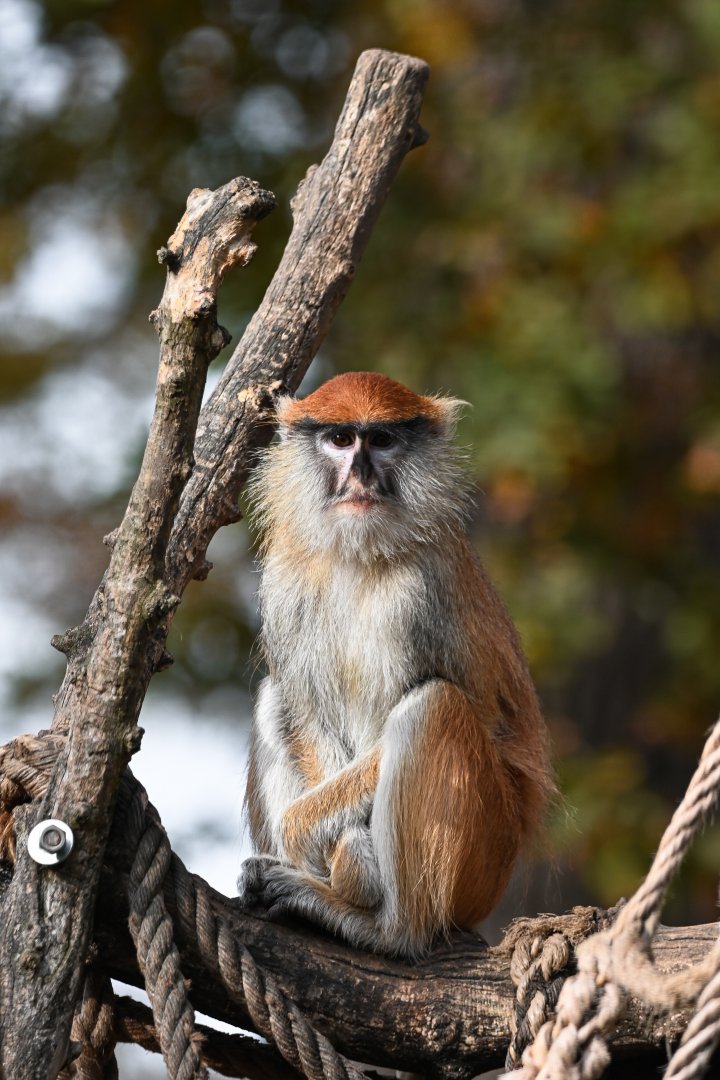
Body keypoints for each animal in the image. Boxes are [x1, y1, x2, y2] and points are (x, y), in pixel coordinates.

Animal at [237, 371, 555, 958]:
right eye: (341, 439)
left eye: (382, 440)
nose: (361, 474)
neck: (361, 556)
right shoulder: (286, 580)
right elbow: (306, 710)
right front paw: (343, 853)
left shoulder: (421, 594)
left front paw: (326, 847)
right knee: (276, 694)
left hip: (482, 857)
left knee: (435, 706)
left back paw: (390, 929)